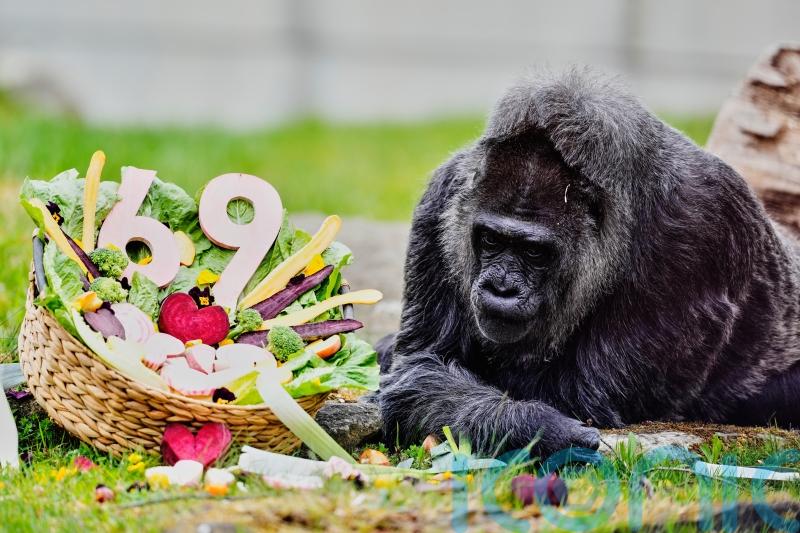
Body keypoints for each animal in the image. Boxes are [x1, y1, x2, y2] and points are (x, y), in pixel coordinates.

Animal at [378, 69, 800, 456]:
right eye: (492, 240)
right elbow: (423, 365)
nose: (502, 287)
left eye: (534, 253)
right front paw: (530, 424)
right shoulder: (443, 196)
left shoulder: (703, 225)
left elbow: (582, 394)